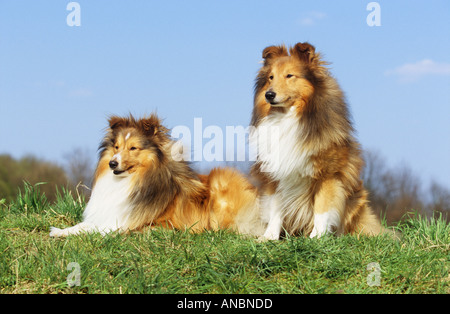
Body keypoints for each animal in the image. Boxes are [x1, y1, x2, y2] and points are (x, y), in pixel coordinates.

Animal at [51, 43, 384, 239]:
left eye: (134, 149)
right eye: (117, 147)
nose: (113, 163)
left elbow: (102, 229)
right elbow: (83, 225)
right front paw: (59, 230)